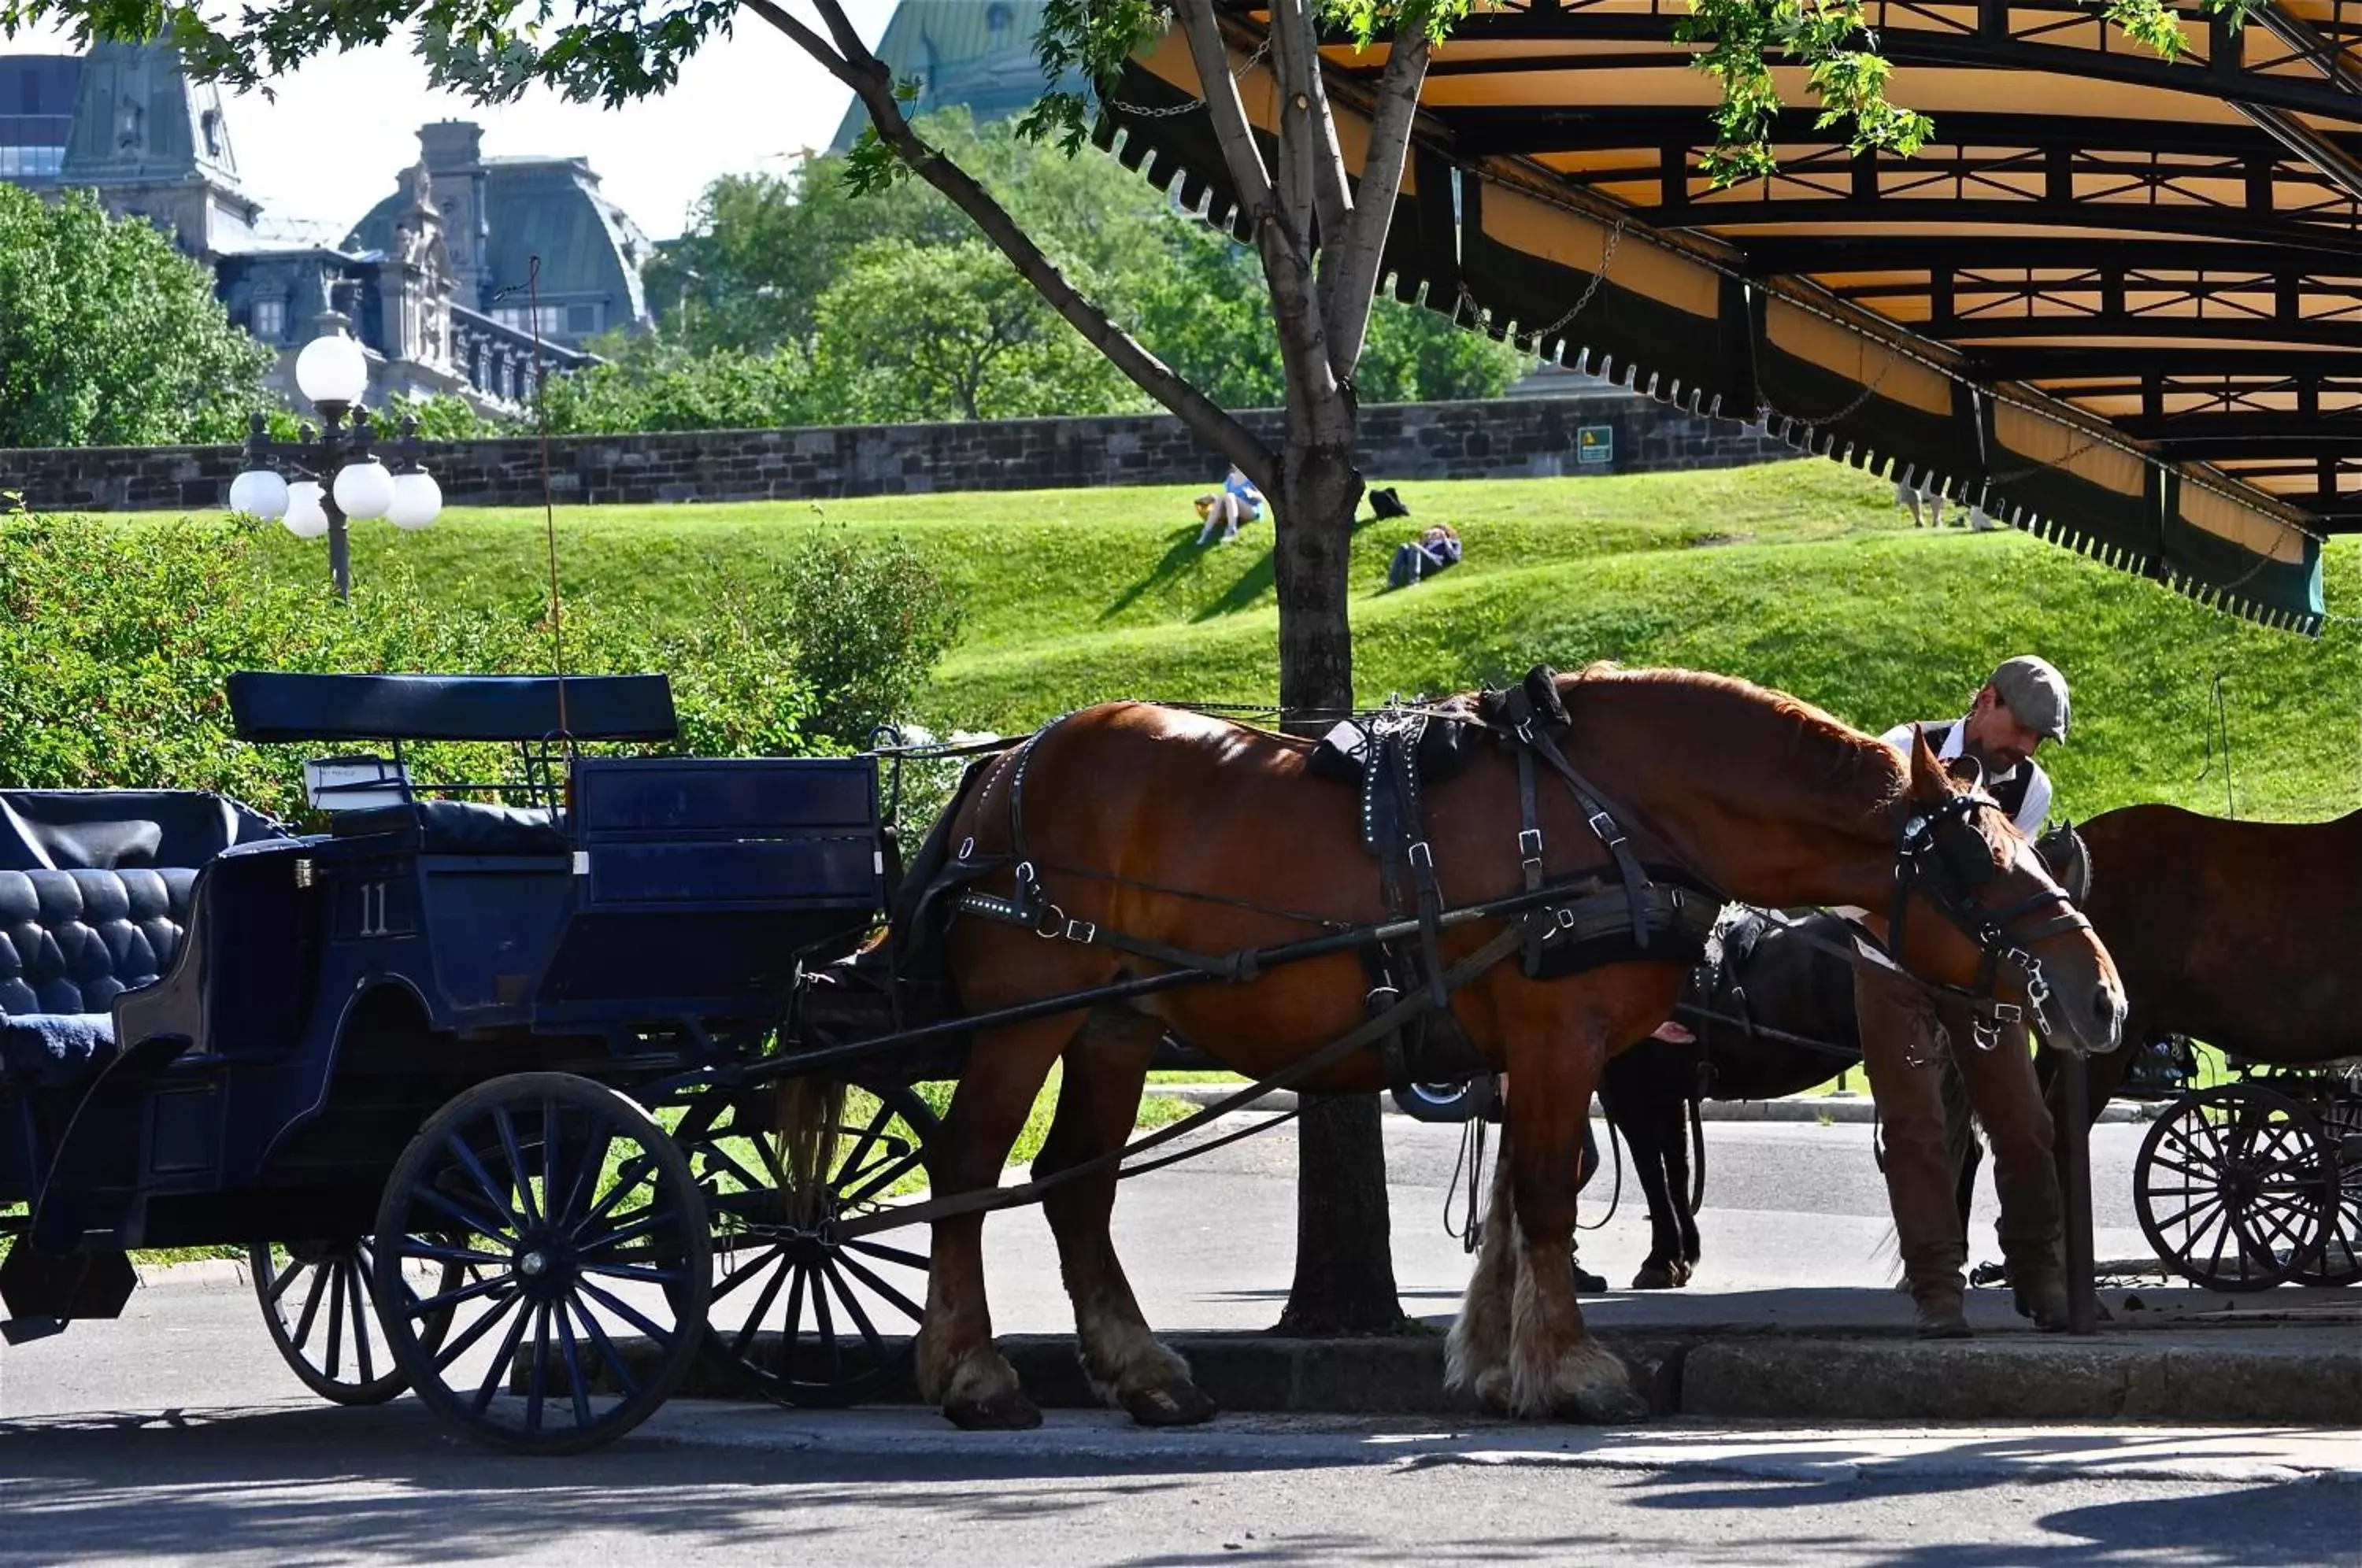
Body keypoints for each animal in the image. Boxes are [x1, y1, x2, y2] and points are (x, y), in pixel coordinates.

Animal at [907, 666, 2126, 1426]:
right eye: (1982, 867)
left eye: (2028, 839)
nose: (2101, 996)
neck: (1612, 815)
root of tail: (1004, 766)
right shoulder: (1558, 1039)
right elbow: (1542, 1194)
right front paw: (1570, 1370)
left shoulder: (1533, 1056)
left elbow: (1514, 1206)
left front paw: (1499, 1361)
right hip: (1022, 1021)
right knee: (967, 1171)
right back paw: (974, 1373)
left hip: (1115, 1027)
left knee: (1075, 1185)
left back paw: (1144, 1372)